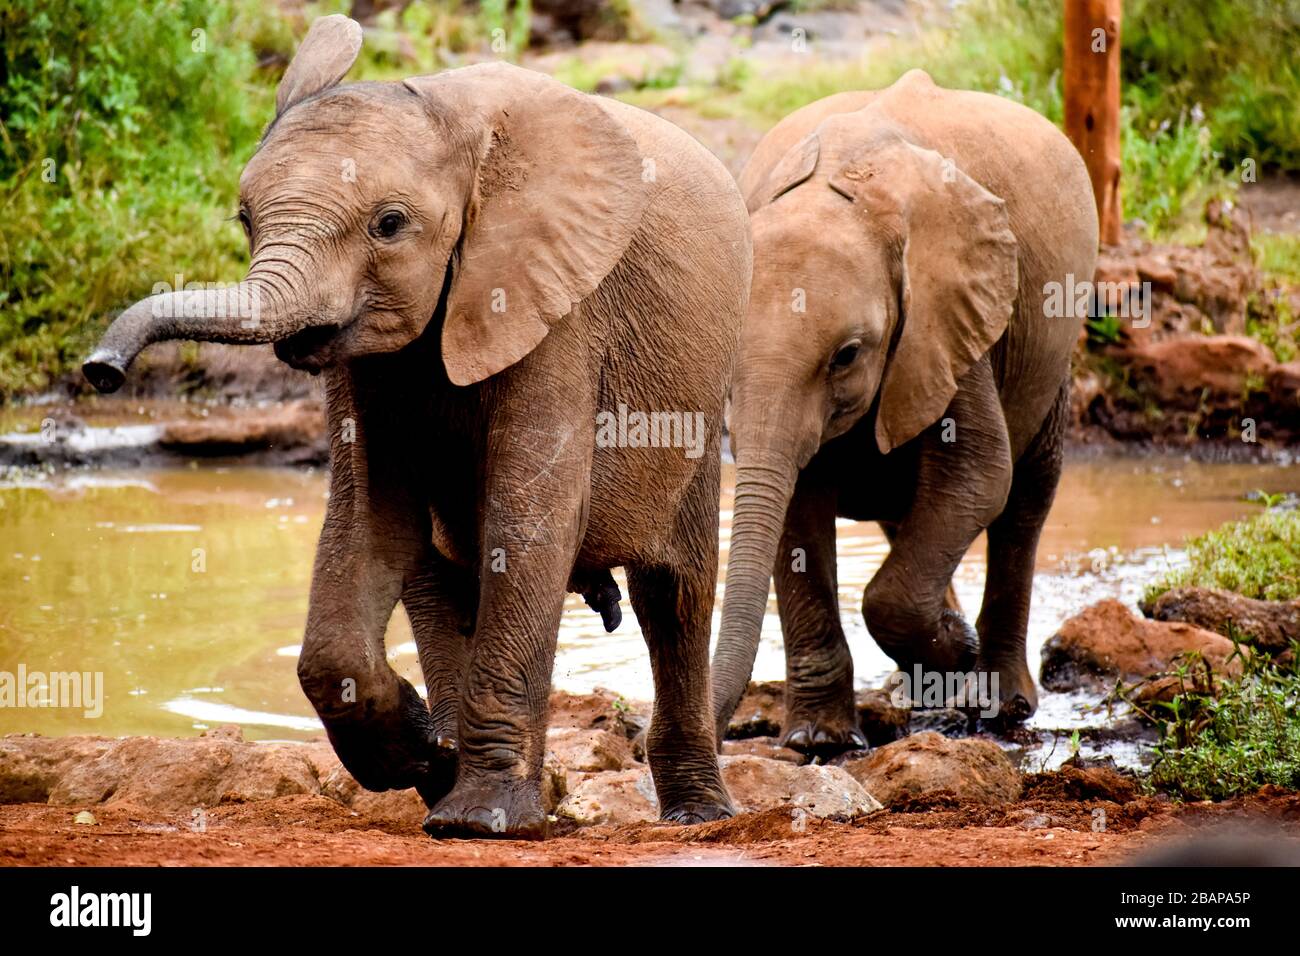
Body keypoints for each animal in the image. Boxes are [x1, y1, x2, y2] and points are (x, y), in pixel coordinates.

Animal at [83, 16, 754, 837]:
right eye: (244, 219)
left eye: (390, 225)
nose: (101, 371)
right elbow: (370, 518)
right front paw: (426, 758)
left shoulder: (559, 306)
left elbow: (529, 523)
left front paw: (480, 821)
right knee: (440, 581)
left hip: (700, 394)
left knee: (674, 596)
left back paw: (695, 817)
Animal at [712, 70, 1097, 754]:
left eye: (846, 355)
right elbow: (794, 508)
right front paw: (818, 742)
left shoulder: (952, 316)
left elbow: (979, 475)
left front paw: (956, 648)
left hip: (1053, 344)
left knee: (1026, 497)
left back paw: (1000, 702)